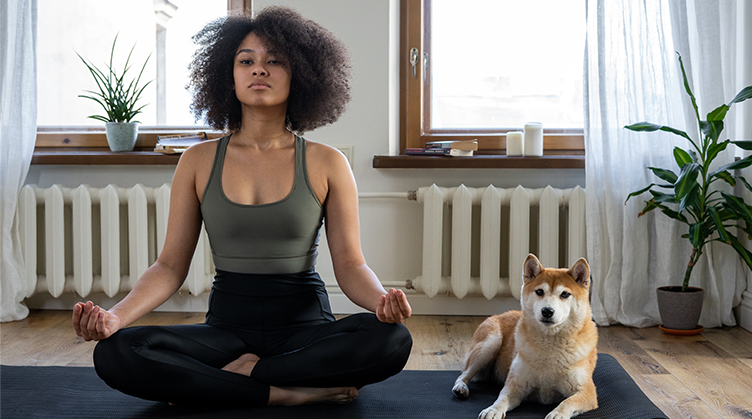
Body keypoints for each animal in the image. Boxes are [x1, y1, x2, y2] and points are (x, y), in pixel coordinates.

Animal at [452, 253, 600, 419]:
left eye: (565, 294)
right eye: (540, 292)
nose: (547, 311)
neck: (550, 347)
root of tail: (498, 315)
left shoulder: (587, 392)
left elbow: (567, 402)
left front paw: (557, 414)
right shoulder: (516, 385)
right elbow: (501, 399)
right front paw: (492, 410)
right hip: (490, 344)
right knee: (463, 374)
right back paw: (461, 387)